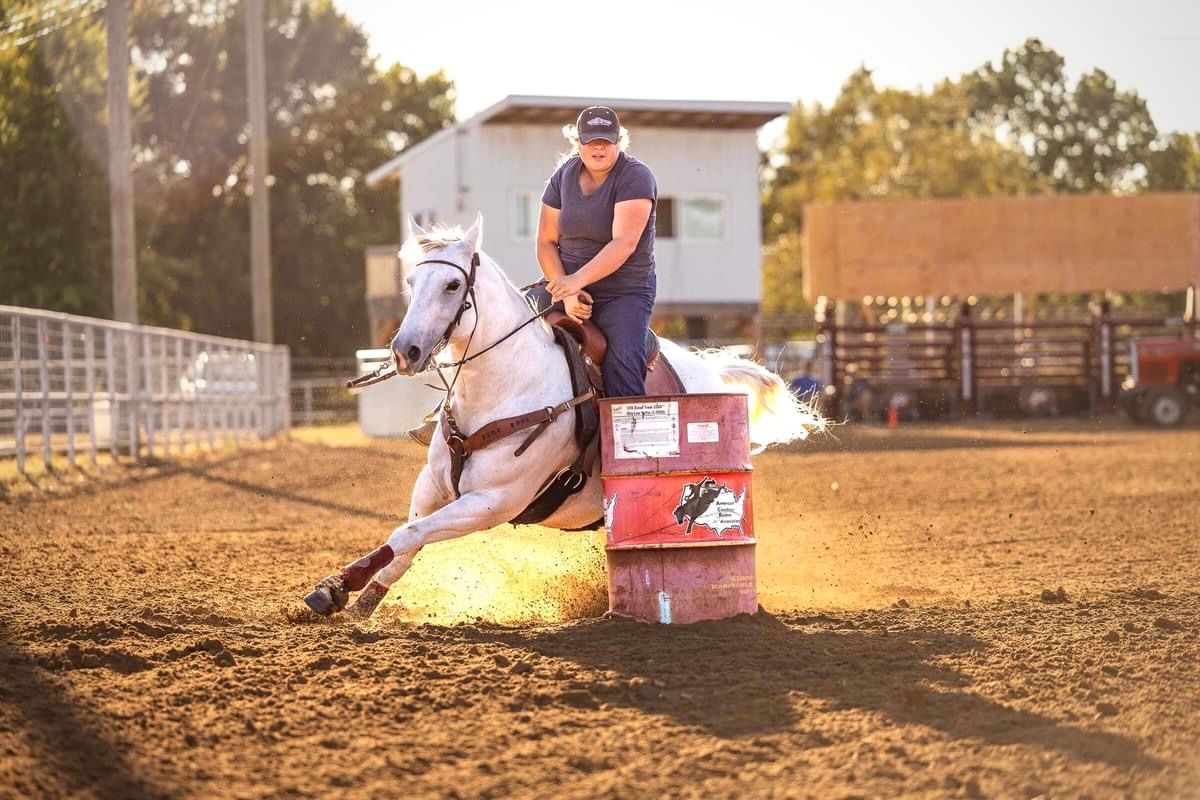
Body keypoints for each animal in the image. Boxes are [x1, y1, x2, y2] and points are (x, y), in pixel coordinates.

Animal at [303, 214, 823, 619]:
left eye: (453, 284)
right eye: (412, 283)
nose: (404, 351)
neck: (506, 387)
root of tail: (709, 371)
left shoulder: (492, 503)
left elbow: (406, 533)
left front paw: (341, 587)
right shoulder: (432, 486)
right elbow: (406, 540)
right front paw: (348, 594)